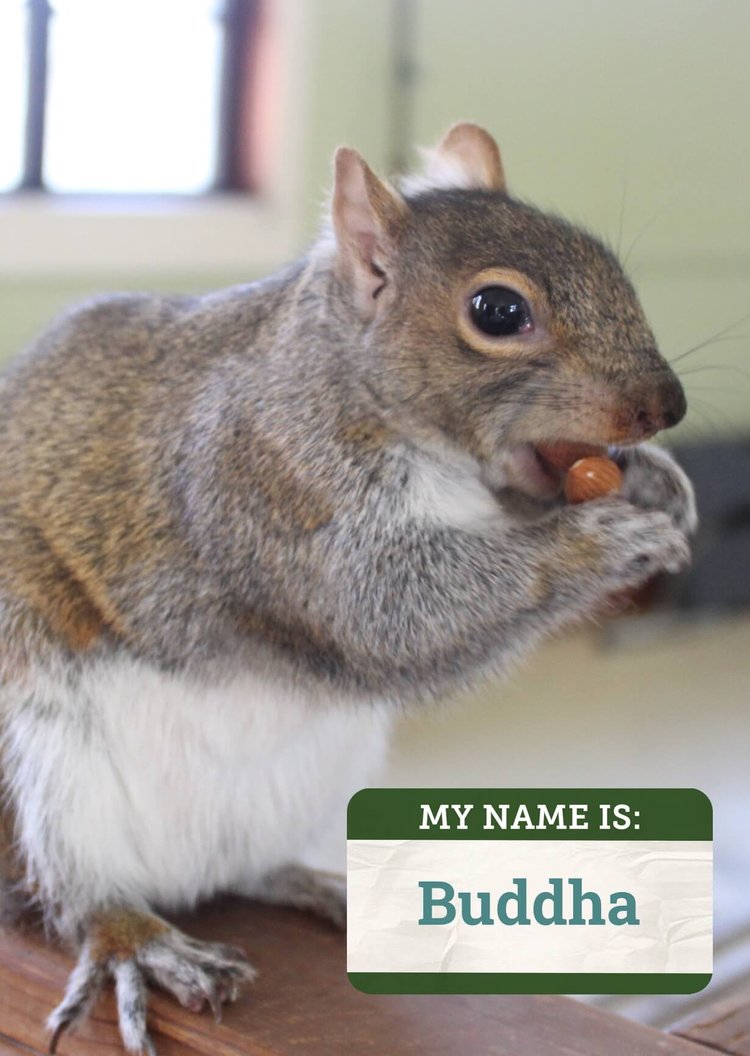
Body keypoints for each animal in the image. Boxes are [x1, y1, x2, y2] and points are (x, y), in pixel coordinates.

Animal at [0, 121, 697, 1047]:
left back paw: (331, 888)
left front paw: (659, 480)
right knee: (82, 891)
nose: (665, 407)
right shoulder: (260, 478)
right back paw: (135, 940)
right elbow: (383, 610)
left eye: (609, 263)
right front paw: (602, 540)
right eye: (498, 311)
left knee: (249, 868)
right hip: (49, 771)